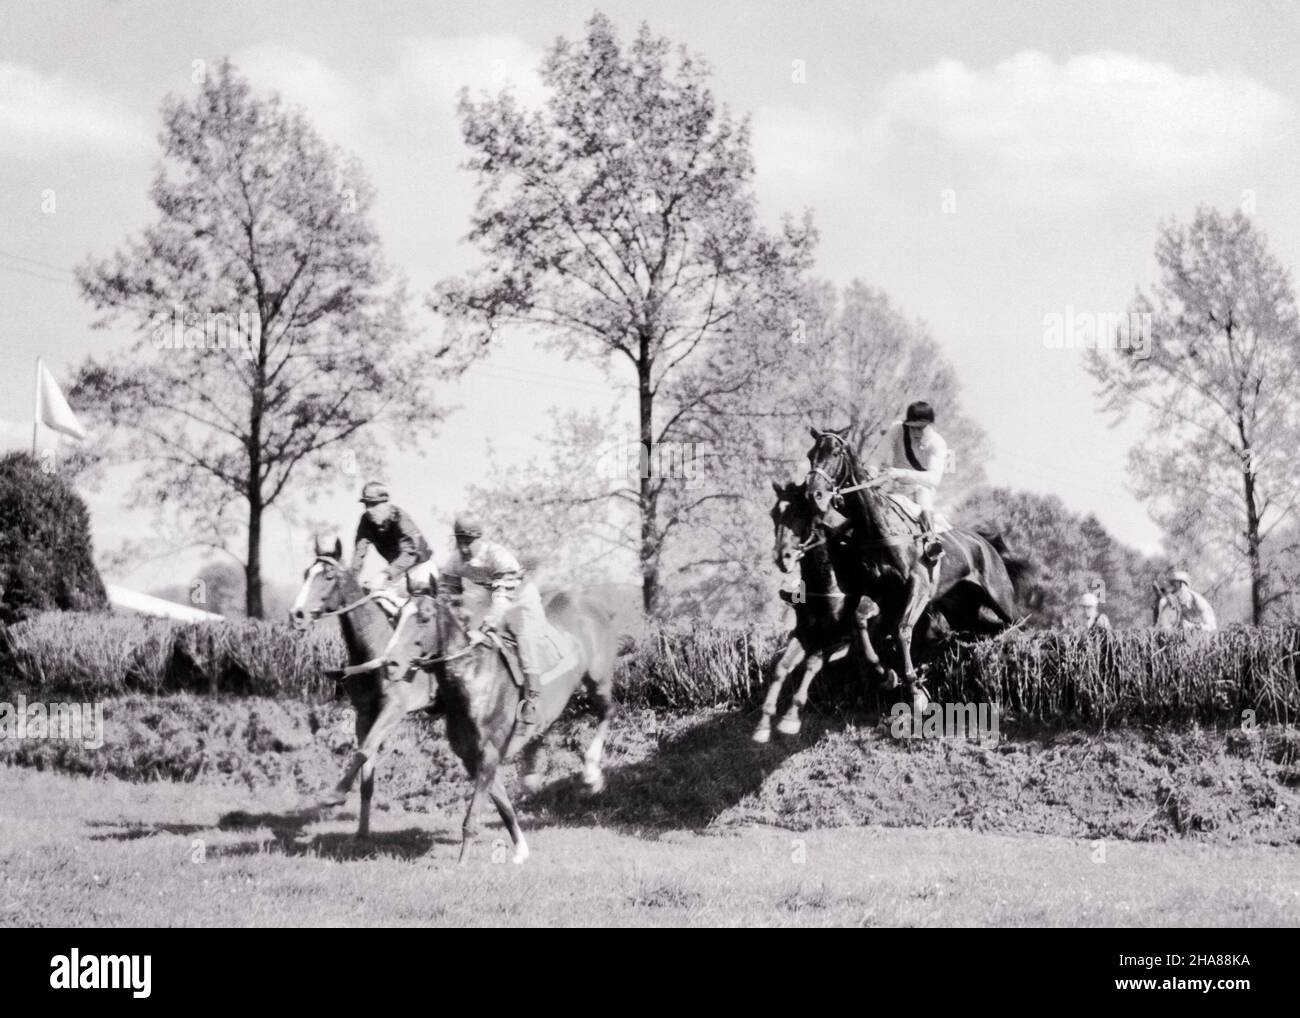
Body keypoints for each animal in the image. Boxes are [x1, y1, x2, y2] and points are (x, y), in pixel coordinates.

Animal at [289, 536, 436, 840]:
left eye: (328, 576)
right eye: (306, 573)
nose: (297, 615)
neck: (376, 646)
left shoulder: (395, 709)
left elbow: (364, 751)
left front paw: (334, 796)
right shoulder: (365, 714)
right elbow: (366, 768)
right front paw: (361, 832)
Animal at [382, 585, 622, 864]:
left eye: (424, 617)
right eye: (395, 618)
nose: (390, 663)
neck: (472, 679)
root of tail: (596, 606)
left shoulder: (489, 753)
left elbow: (472, 817)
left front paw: (461, 863)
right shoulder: (473, 759)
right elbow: (503, 805)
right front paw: (521, 849)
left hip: (597, 679)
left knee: (608, 712)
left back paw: (591, 774)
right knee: (546, 726)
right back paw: (531, 774)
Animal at [804, 426, 1032, 706]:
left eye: (835, 453)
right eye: (810, 454)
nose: (813, 494)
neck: (879, 526)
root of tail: (986, 543)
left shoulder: (918, 586)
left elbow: (902, 631)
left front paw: (915, 689)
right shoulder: (882, 592)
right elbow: (861, 622)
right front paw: (886, 675)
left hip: (999, 596)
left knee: (1018, 622)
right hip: (960, 608)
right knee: (987, 627)